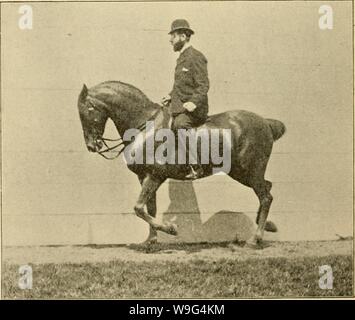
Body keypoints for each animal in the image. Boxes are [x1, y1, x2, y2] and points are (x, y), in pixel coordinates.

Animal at [77, 80, 286, 245]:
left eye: (87, 110)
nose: (92, 145)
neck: (145, 126)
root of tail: (265, 122)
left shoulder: (155, 175)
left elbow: (138, 208)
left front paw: (170, 229)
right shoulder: (144, 176)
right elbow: (149, 208)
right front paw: (151, 241)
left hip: (249, 171)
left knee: (265, 196)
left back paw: (255, 238)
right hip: (241, 172)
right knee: (267, 188)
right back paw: (267, 226)